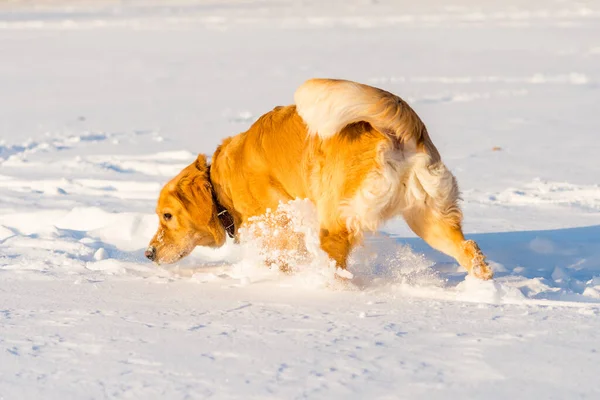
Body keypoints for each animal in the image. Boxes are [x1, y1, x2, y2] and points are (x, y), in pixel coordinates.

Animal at [145, 77, 492, 278]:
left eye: (167, 216)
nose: (148, 254)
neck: (219, 183)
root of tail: (398, 127)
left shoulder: (277, 226)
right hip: (429, 215)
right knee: (470, 251)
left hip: (335, 219)